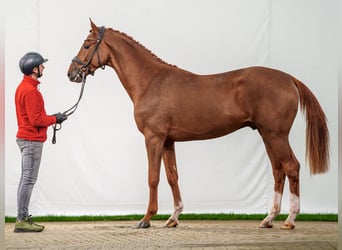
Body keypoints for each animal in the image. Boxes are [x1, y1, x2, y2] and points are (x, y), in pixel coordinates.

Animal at [66, 20, 328, 230]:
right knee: (278, 171)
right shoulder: (168, 140)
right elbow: (172, 176)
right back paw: (268, 219)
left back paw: (290, 220)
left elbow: (153, 177)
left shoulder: (153, 138)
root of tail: (289, 79)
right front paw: (173, 218)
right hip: (267, 135)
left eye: (87, 45)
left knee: (291, 167)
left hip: (276, 135)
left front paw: (146, 219)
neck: (150, 81)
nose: (71, 73)